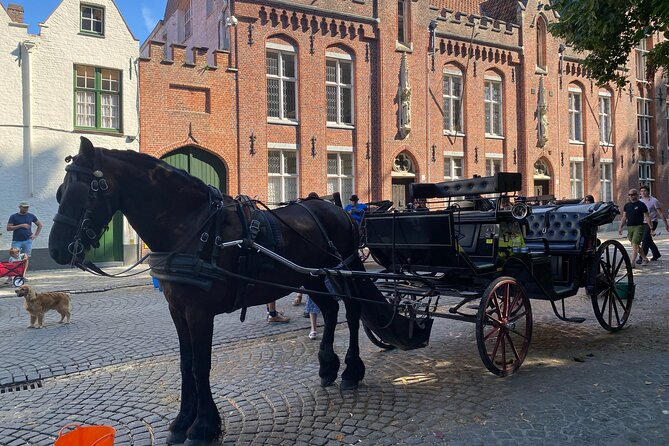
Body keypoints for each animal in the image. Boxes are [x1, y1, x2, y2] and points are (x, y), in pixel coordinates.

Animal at [49, 138, 430, 444]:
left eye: (83, 191)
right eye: (59, 193)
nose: (55, 250)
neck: (192, 226)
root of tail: (337, 208)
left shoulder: (199, 312)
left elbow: (201, 364)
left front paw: (203, 427)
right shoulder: (177, 309)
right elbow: (186, 363)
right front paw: (181, 422)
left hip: (343, 272)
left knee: (351, 313)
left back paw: (351, 371)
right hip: (309, 277)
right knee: (330, 311)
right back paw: (327, 368)